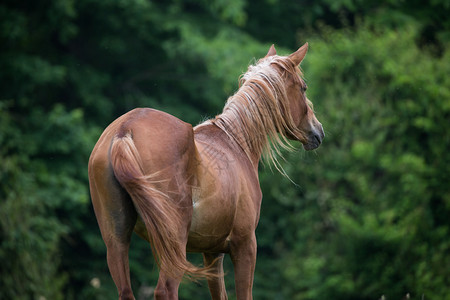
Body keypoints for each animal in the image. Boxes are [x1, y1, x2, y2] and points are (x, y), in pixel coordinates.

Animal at [89, 42, 324, 300]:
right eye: (303, 88)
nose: (318, 131)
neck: (235, 141)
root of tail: (124, 130)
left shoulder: (212, 252)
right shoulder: (245, 245)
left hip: (118, 240)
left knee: (126, 291)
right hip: (174, 244)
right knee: (166, 289)